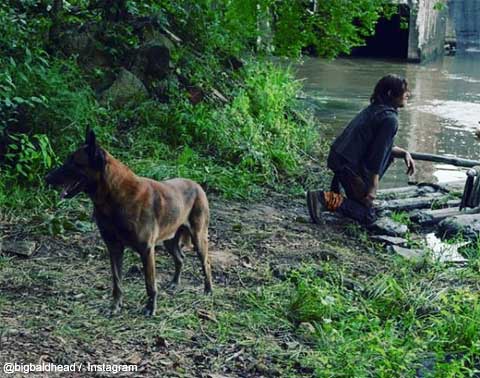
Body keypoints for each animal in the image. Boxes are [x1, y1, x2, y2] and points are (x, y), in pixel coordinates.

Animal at [46, 130, 212, 316]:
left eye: (74, 162)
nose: (46, 178)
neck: (113, 196)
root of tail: (197, 185)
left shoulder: (146, 250)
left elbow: (150, 284)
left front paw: (150, 308)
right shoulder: (114, 248)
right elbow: (117, 281)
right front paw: (115, 306)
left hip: (198, 238)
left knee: (206, 263)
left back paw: (208, 290)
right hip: (169, 240)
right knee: (180, 258)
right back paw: (175, 283)